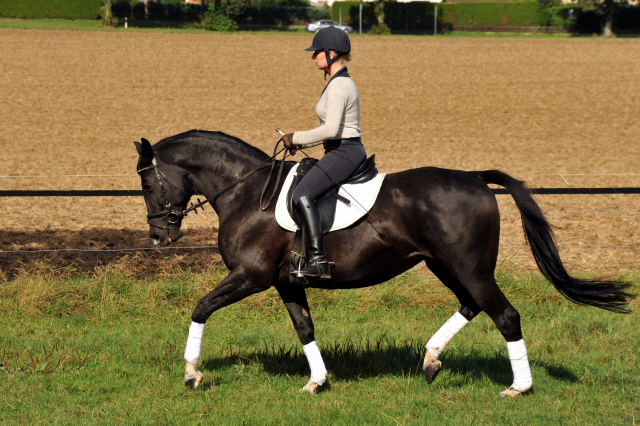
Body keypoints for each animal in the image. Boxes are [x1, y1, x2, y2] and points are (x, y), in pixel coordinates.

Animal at [134, 130, 632, 396]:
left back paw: (518, 387)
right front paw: (317, 382)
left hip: (468, 267)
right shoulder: (286, 283)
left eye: (148, 184)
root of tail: (475, 179)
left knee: (505, 315)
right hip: (444, 266)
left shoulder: (250, 277)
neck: (245, 191)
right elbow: (305, 329)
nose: (160, 236)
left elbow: (200, 308)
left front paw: (191, 374)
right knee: (473, 305)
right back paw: (430, 361)